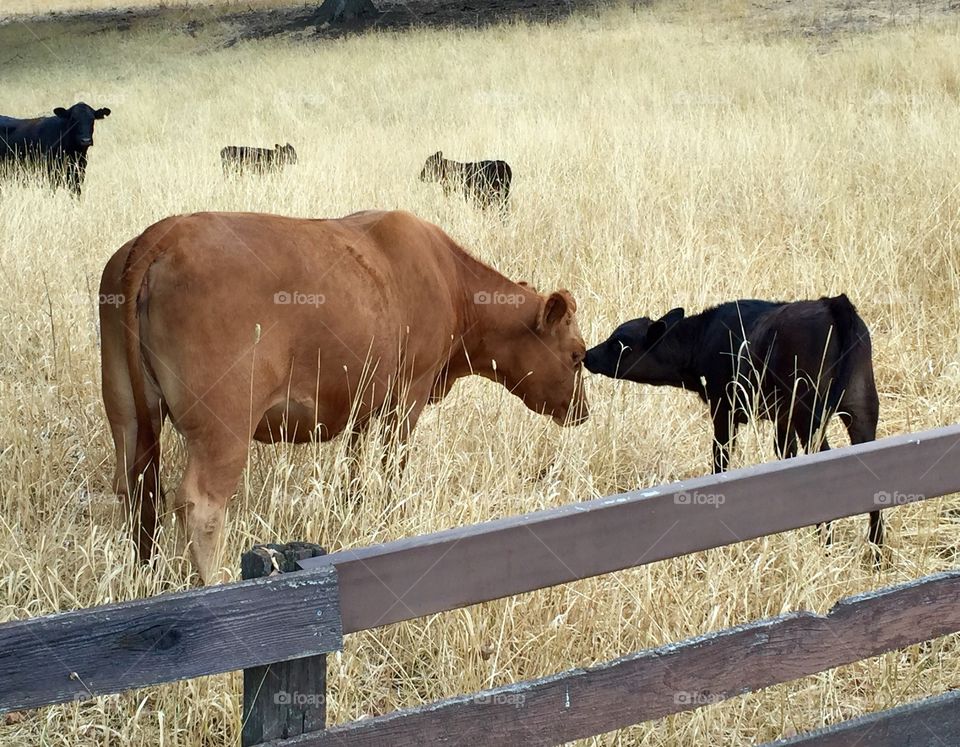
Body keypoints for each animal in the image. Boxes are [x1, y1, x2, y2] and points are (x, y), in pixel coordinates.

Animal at [101, 209, 588, 584]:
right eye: (578, 355)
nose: (583, 412)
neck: (449, 279)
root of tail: (163, 234)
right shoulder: (408, 396)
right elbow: (392, 467)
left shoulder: (363, 401)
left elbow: (354, 467)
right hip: (224, 425)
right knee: (199, 504)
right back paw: (213, 582)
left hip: (127, 413)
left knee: (136, 488)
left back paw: (146, 575)